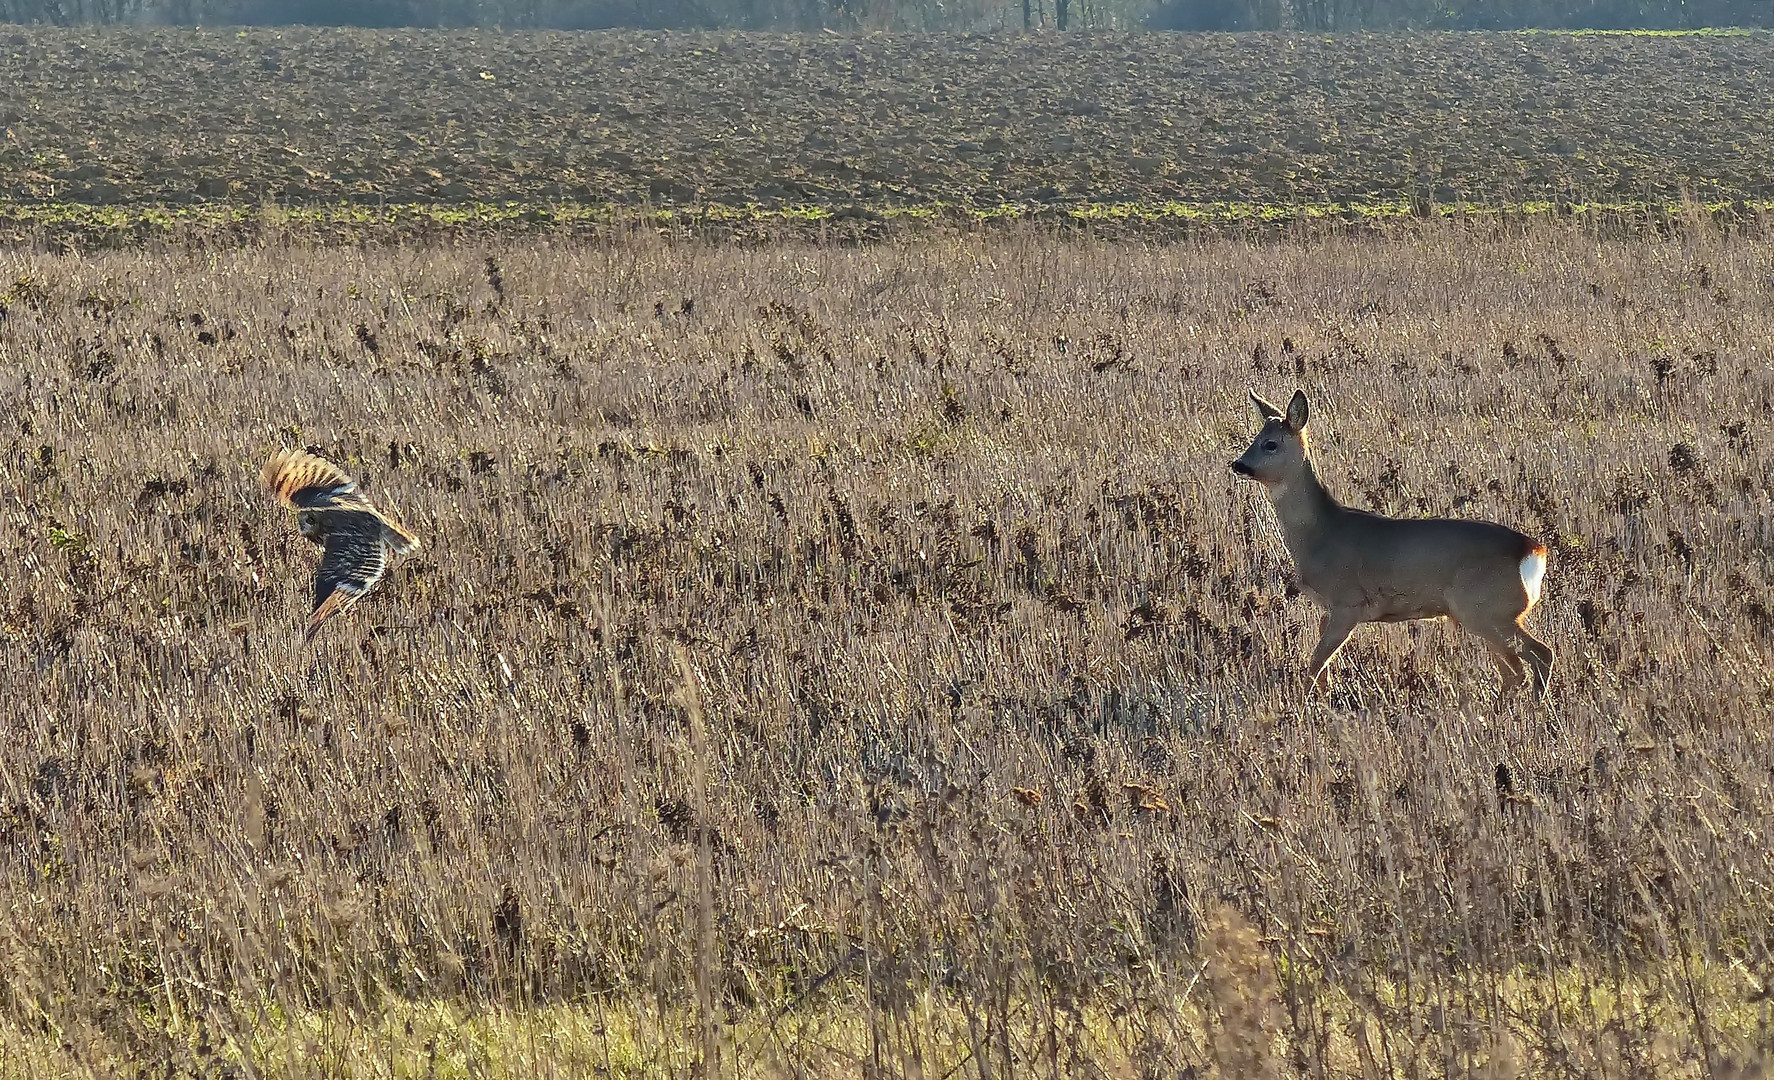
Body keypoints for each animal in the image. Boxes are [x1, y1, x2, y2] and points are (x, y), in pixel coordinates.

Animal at [1234, 391, 1554, 695]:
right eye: (1255, 438)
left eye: (1270, 444)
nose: (1239, 464)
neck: (1320, 532)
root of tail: (1533, 551)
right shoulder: (1328, 609)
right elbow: (1322, 669)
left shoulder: (1348, 602)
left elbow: (1315, 665)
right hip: (1483, 615)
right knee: (1514, 672)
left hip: (1488, 610)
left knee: (1539, 655)